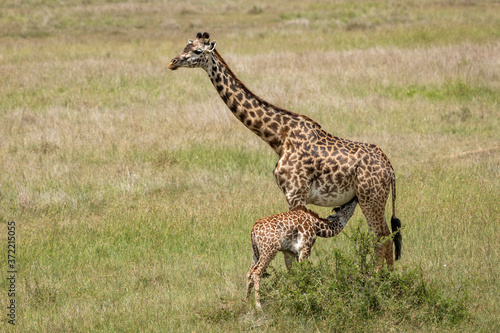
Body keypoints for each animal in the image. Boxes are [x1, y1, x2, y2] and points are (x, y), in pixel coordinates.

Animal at [168, 31, 402, 264]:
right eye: (185, 47)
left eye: (198, 51)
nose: (173, 62)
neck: (279, 136)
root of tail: (390, 169)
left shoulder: (295, 193)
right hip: (371, 199)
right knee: (385, 237)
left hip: (370, 198)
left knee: (382, 237)